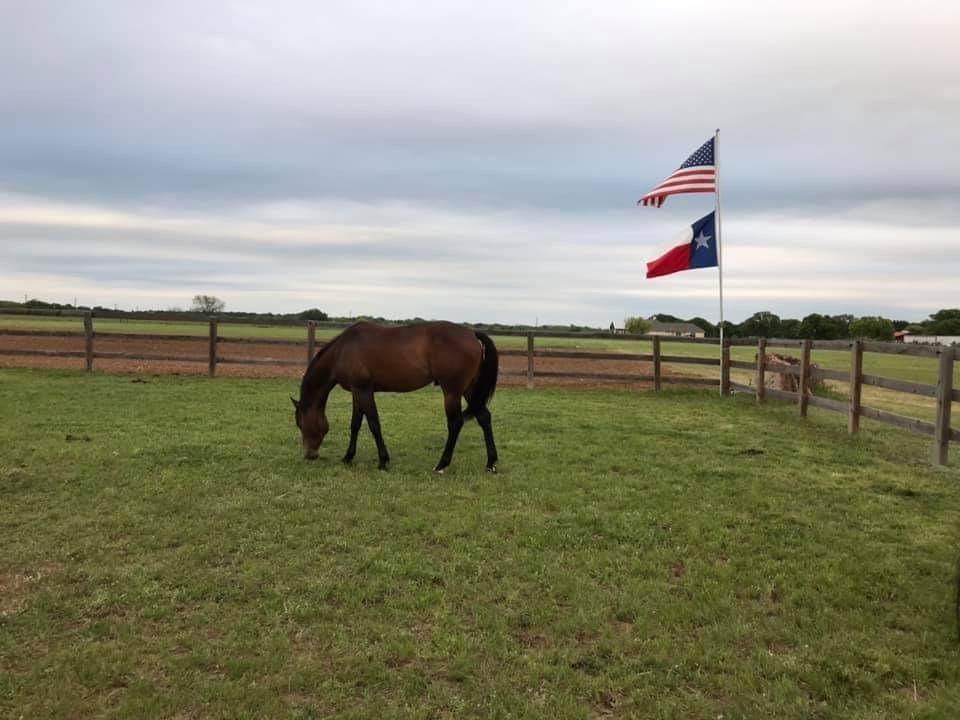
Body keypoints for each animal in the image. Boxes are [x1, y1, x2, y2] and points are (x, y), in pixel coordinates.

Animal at [290, 320, 502, 472]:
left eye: (301, 424)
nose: (310, 455)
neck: (343, 350)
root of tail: (472, 334)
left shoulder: (363, 390)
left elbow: (374, 424)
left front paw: (383, 461)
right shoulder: (357, 392)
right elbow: (355, 424)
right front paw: (348, 457)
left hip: (452, 392)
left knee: (456, 423)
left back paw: (441, 465)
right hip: (469, 390)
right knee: (484, 417)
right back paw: (491, 463)